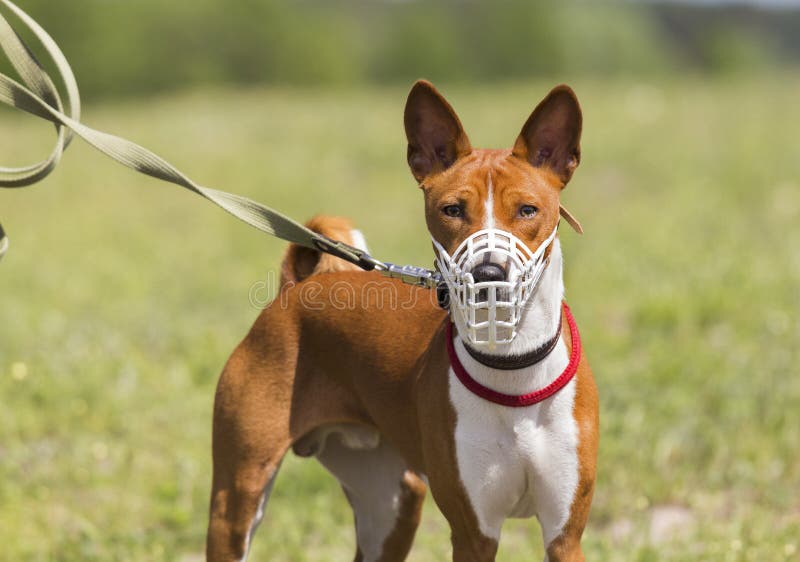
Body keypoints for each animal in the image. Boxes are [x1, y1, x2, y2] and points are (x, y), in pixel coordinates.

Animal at [206, 81, 592, 556]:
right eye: (451, 210)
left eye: (527, 210)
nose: (487, 273)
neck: (513, 372)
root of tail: (294, 289)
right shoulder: (474, 533)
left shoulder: (564, 534)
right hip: (238, 501)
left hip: (391, 503)